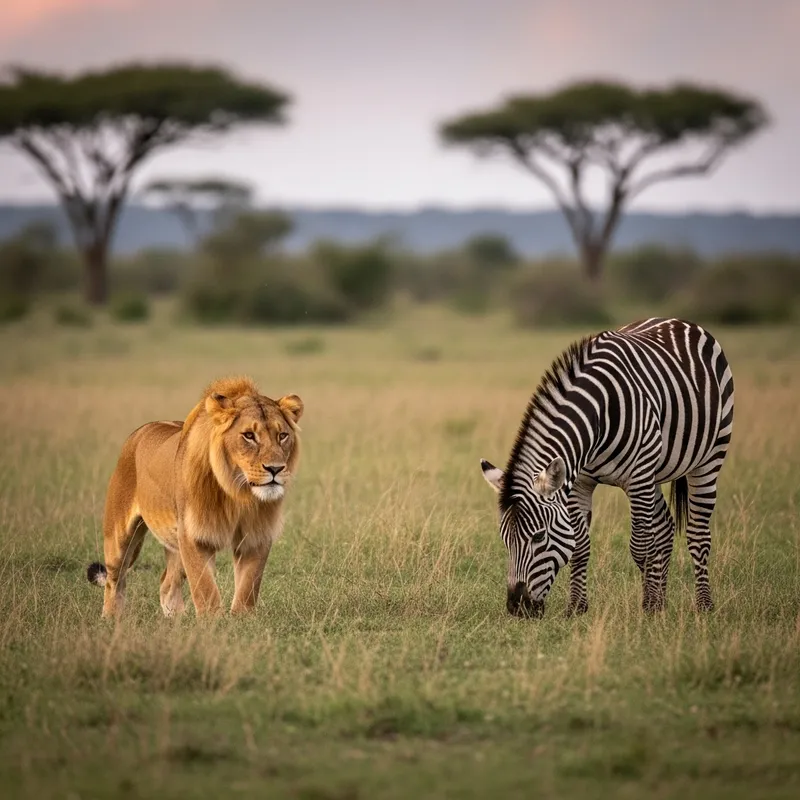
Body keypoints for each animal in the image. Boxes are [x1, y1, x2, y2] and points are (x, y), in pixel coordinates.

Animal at [86, 376, 304, 618]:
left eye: (282, 436)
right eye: (249, 435)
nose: (276, 469)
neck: (237, 492)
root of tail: (140, 431)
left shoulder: (256, 535)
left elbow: (248, 587)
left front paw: (242, 621)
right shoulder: (193, 535)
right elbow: (205, 588)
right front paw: (213, 623)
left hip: (175, 543)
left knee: (167, 582)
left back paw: (176, 620)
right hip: (120, 535)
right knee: (115, 578)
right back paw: (111, 618)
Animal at [479, 317, 734, 618]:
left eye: (539, 536)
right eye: (505, 539)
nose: (517, 608)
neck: (597, 417)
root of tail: (678, 321)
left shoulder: (637, 478)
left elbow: (640, 546)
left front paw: (647, 607)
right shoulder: (580, 481)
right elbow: (580, 546)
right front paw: (577, 607)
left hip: (708, 458)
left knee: (697, 534)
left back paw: (703, 605)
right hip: (655, 473)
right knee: (665, 527)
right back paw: (663, 602)